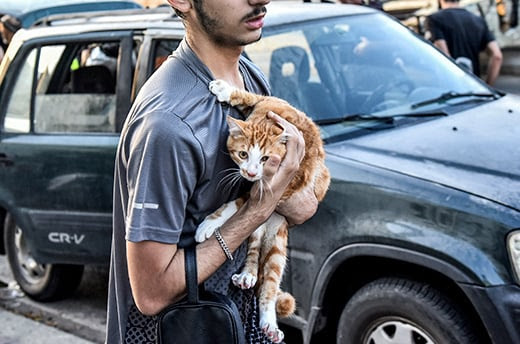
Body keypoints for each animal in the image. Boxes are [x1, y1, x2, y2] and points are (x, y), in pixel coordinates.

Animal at [195, 80, 330, 342]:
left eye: (266, 159)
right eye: (243, 154)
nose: (250, 172)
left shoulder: (281, 186)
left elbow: (238, 202)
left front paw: (209, 223)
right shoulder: (269, 103)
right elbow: (249, 96)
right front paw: (226, 89)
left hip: (278, 239)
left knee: (269, 282)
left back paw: (268, 322)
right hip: (260, 226)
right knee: (254, 248)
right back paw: (247, 274)